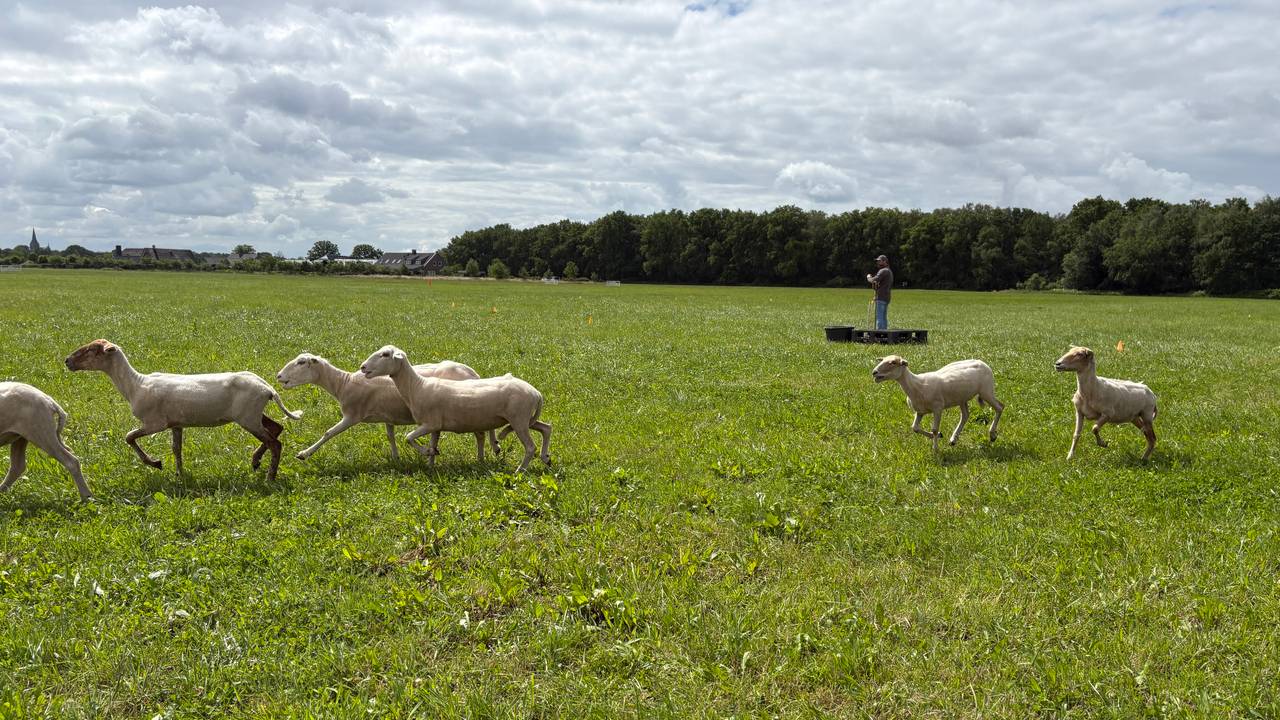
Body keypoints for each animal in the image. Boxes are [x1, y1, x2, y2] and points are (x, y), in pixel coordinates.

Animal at [64, 339, 301, 481]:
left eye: (91, 350)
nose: (67, 361)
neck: (135, 385)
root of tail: (267, 388)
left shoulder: (155, 423)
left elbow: (129, 437)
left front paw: (155, 463)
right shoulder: (176, 424)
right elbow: (176, 449)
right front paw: (179, 474)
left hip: (248, 416)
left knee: (275, 443)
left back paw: (270, 476)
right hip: (253, 414)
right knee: (276, 429)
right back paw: (255, 460)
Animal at [276, 353, 500, 462]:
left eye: (301, 362)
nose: (278, 376)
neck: (342, 383)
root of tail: (473, 373)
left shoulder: (352, 415)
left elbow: (328, 433)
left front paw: (304, 453)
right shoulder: (388, 415)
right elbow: (390, 436)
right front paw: (395, 457)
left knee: (484, 430)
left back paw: (492, 448)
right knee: (486, 429)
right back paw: (492, 447)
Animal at [358, 345, 551, 472]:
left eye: (385, 354)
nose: (363, 367)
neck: (416, 386)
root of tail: (536, 392)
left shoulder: (429, 423)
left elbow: (408, 437)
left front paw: (426, 452)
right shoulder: (435, 426)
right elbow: (432, 442)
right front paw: (431, 462)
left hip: (519, 419)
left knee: (530, 447)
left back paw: (520, 470)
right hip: (525, 419)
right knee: (546, 428)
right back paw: (546, 458)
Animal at [871, 355, 1005, 452]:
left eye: (893, 362)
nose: (874, 372)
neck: (916, 385)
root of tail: (983, 363)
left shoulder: (937, 408)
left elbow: (934, 429)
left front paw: (935, 448)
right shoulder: (920, 411)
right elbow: (915, 428)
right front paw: (938, 436)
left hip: (986, 391)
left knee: (1000, 407)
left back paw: (992, 435)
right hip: (961, 398)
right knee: (965, 415)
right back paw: (953, 439)